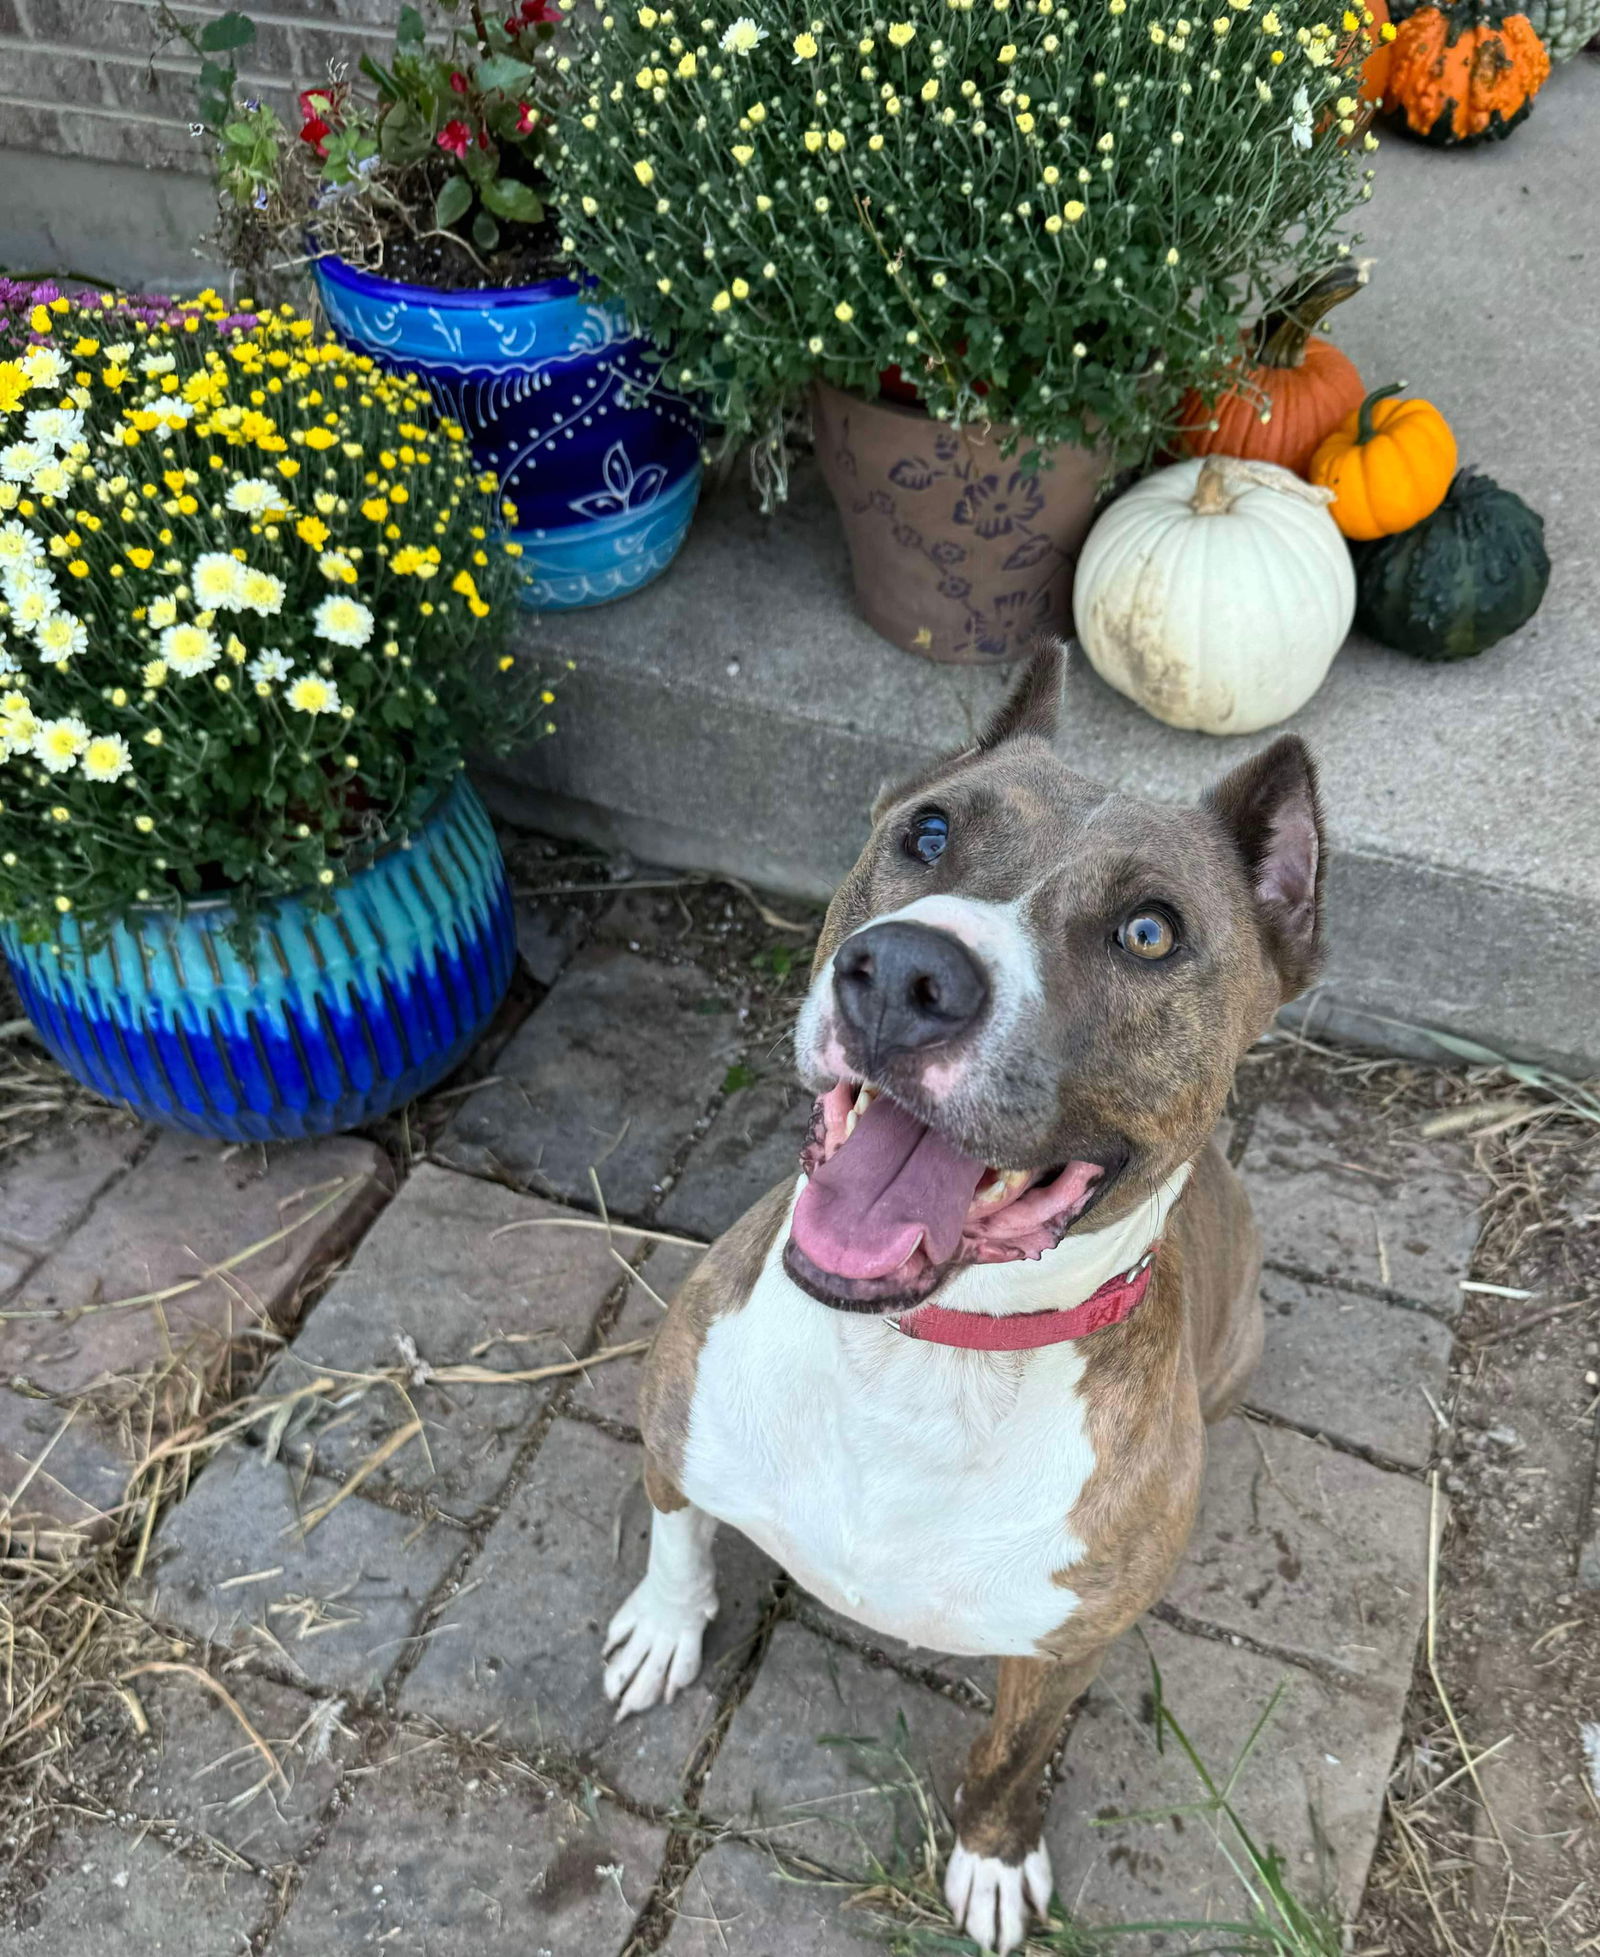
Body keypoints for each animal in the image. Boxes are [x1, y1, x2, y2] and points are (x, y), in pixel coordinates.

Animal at [598, 637, 1322, 1941]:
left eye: (1150, 930)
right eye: (927, 833)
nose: (902, 973)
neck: (920, 1350)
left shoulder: (1068, 1646)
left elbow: (1015, 1752)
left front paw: (992, 1854)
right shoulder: (675, 1427)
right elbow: (679, 1539)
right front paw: (663, 1631)